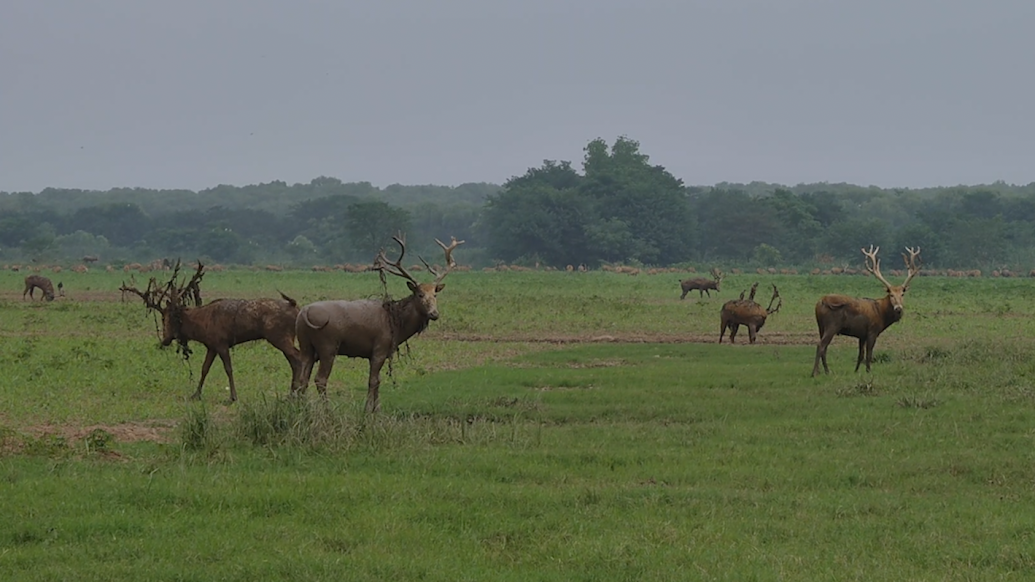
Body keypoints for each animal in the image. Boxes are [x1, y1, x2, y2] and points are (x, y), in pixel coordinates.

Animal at [120, 260, 302, 401]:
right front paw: (196, 394)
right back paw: (293, 393)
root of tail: (296, 307)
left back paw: (297, 393)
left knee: (298, 357)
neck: (202, 326)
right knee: (294, 360)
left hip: (279, 335)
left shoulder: (221, 342)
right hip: (284, 337)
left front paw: (233, 396)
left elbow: (228, 369)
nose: (164, 340)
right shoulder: (211, 346)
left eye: (166, 318)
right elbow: (204, 369)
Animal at [293, 233, 467, 410]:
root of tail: (304, 312)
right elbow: (373, 381)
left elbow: (378, 381)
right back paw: (327, 410)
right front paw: (368, 409)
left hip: (306, 345)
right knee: (320, 379)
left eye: (435, 295)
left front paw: (376, 409)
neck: (397, 325)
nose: (434, 313)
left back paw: (301, 408)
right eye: (420, 295)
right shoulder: (380, 348)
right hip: (327, 345)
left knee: (302, 378)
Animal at [807, 244, 923, 376]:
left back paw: (827, 371)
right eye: (891, 294)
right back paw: (815, 372)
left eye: (902, 294)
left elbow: (860, 354)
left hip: (821, 326)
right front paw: (868, 371)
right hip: (832, 325)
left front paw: (856, 371)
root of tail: (821, 301)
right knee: (820, 345)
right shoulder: (872, 331)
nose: (898, 308)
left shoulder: (861, 334)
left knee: (824, 347)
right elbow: (869, 354)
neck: (882, 314)